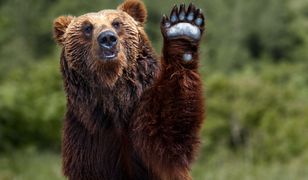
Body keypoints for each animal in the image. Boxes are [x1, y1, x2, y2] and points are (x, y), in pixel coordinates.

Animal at [53, 0, 205, 179]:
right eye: (87, 27)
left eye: (116, 23)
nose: (107, 38)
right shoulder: (84, 137)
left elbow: (168, 128)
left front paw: (183, 27)